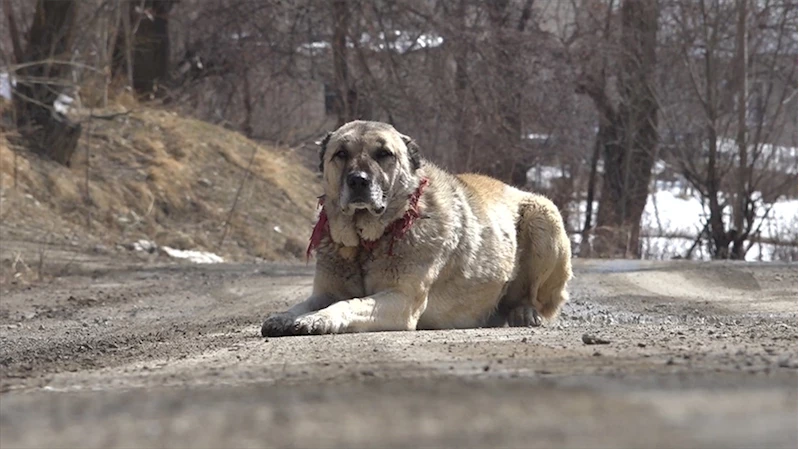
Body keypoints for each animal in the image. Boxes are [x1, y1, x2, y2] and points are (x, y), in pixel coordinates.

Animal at [262, 121, 576, 334]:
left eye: (384, 154)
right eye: (340, 153)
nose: (358, 181)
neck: (368, 242)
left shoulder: (401, 300)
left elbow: (347, 304)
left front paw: (318, 319)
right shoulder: (324, 293)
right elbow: (305, 304)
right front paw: (286, 317)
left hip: (544, 216)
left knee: (538, 298)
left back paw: (525, 312)